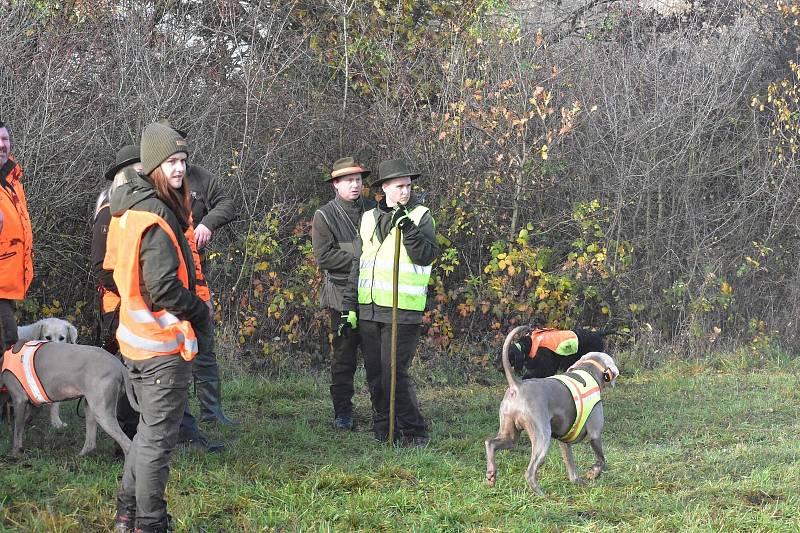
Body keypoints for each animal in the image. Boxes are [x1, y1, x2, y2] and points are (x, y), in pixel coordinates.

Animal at [0, 340, 136, 458]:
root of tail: (119, 366)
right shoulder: (33, 405)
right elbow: (23, 425)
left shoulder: (19, 399)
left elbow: (17, 430)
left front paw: (14, 453)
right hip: (90, 407)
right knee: (91, 443)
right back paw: (80, 456)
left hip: (101, 412)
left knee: (128, 445)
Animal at [482, 324, 620, 494]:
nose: (494, 363)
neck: (588, 370)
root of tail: (516, 386)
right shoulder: (595, 434)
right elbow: (602, 459)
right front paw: (593, 473)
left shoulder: (564, 441)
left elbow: (571, 465)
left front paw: (577, 481)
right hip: (542, 437)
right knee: (530, 472)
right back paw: (542, 495)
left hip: (510, 435)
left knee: (490, 443)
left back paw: (491, 475)